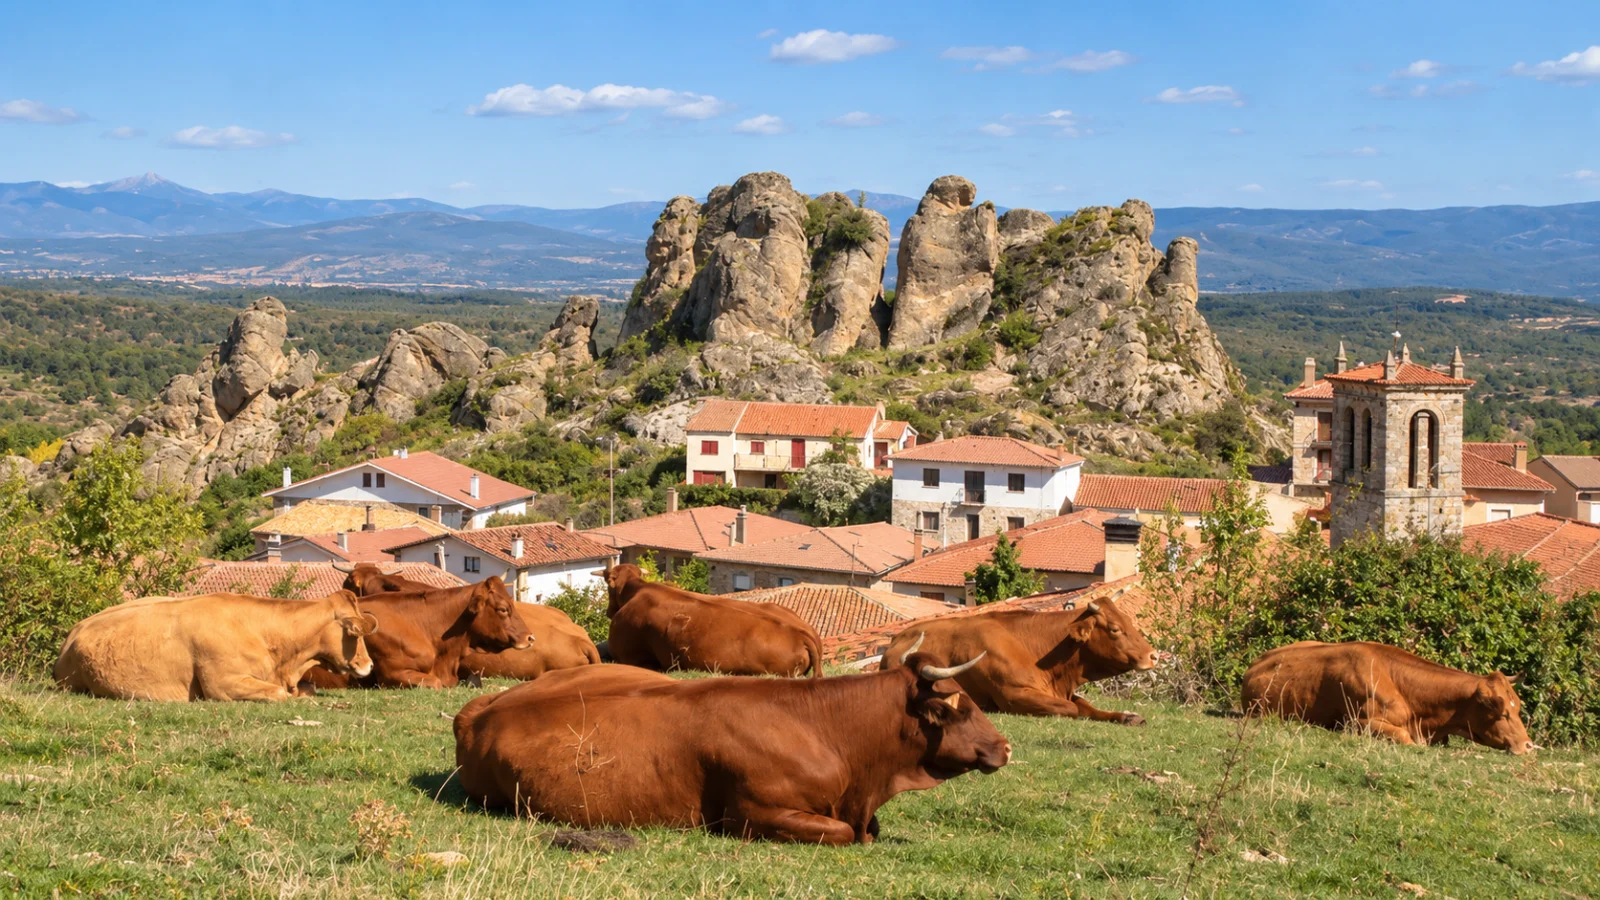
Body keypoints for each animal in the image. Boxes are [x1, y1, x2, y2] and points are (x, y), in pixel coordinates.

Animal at [878, 589, 1159, 724]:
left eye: (1128, 620)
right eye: (1115, 629)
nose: (1153, 655)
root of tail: (897, 639)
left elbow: (1087, 707)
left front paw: (1126, 716)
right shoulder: (1013, 696)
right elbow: (1072, 709)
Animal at [1240, 641, 1537, 754]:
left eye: (1517, 708)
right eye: (1501, 711)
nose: (1529, 746)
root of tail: (1254, 664)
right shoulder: (1356, 722)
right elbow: (1404, 738)